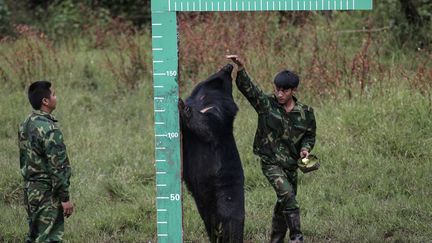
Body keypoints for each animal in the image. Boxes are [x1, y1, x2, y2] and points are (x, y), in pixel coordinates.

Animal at [179, 63, 245, 242]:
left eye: (228, 76)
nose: (229, 65)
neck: (203, 99)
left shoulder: (219, 113)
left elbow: (206, 126)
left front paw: (182, 105)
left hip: (227, 194)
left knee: (231, 222)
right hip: (204, 204)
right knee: (212, 224)